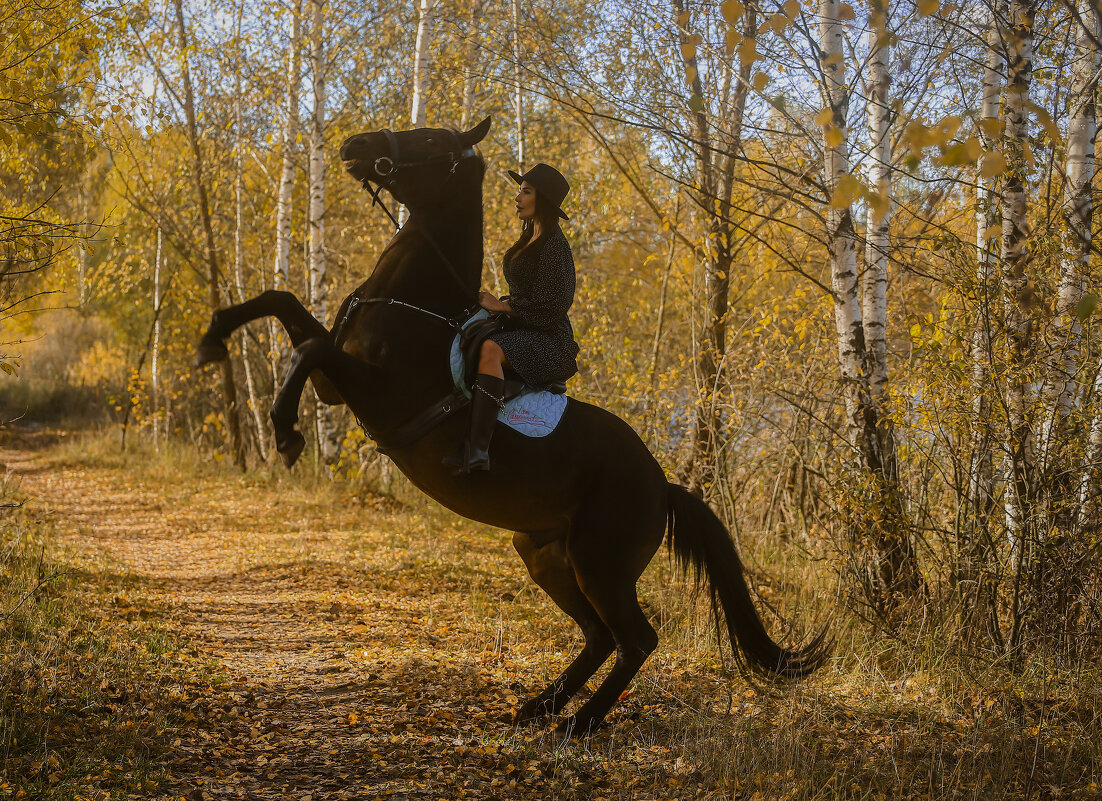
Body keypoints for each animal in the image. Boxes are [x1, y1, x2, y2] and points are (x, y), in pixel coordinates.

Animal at [193, 115, 828, 735]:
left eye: (430, 139)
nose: (356, 143)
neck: (411, 306)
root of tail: (662, 485)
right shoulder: (335, 380)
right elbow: (282, 304)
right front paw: (212, 339)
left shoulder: (368, 389)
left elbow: (308, 350)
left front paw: (285, 432)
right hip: (547, 556)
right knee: (600, 637)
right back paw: (539, 707)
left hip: (600, 564)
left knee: (636, 639)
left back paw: (578, 724)